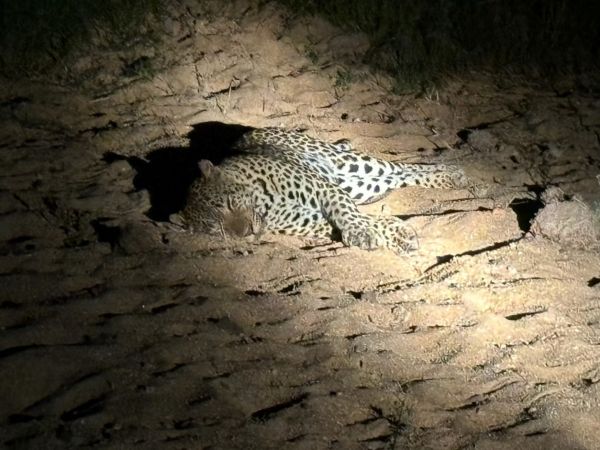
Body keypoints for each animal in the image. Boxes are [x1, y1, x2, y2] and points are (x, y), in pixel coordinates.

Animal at [180, 126, 472, 253]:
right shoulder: (306, 219)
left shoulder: (326, 190)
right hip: (359, 185)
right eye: (216, 230)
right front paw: (395, 236)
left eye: (229, 204)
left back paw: (453, 175)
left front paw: (364, 233)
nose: (246, 233)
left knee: (400, 167)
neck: (265, 203)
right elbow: (358, 221)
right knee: (396, 178)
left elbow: (348, 214)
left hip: (348, 164)